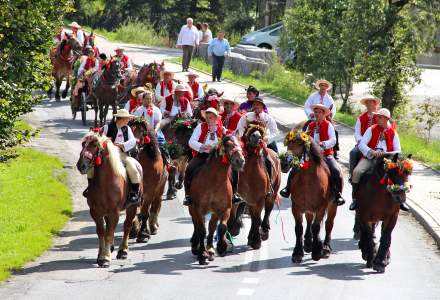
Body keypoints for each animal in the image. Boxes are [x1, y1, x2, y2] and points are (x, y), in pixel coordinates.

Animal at [75, 131, 141, 268]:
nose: (81, 165)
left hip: (132, 207)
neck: (105, 182)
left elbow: (109, 233)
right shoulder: (95, 212)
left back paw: (123, 251)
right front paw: (101, 254)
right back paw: (110, 248)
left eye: (95, 145)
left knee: (127, 226)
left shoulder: (114, 212)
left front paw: (105, 258)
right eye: (83, 144)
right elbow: (101, 232)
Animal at [187, 135, 246, 264]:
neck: (214, 181)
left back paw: (210, 249)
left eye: (241, 144)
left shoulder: (225, 208)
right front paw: (202, 254)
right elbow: (201, 230)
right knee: (197, 225)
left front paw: (221, 247)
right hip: (192, 208)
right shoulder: (198, 209)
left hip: (214, 212)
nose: (240, 161)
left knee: (212, 226)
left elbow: (221, 227)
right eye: (228, 145)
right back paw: (197, 246)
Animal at [229, 120, 280, 250]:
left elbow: (257, 218)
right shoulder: (238, 198)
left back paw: (263, 231)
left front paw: (256, 240)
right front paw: (232, 231)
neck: (250, 173)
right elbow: (233, 214)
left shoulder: (259, 199)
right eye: (248, 127)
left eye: (262, 129)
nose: (256, 136)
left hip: (271, 195)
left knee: (266, 211)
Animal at [284, 129, 338, 262]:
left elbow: (317, 227)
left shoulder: (321, 208)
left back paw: (325, 248)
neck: (308, 179)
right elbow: (299, 228)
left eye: (299, 143)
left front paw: (317, 252)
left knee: (328, 224)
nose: (284, 162)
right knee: (309, 221)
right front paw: (297, 253)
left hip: (332, 206)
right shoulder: (296, 207)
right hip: (308, 208)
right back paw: (308, 243)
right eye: (288, 143)